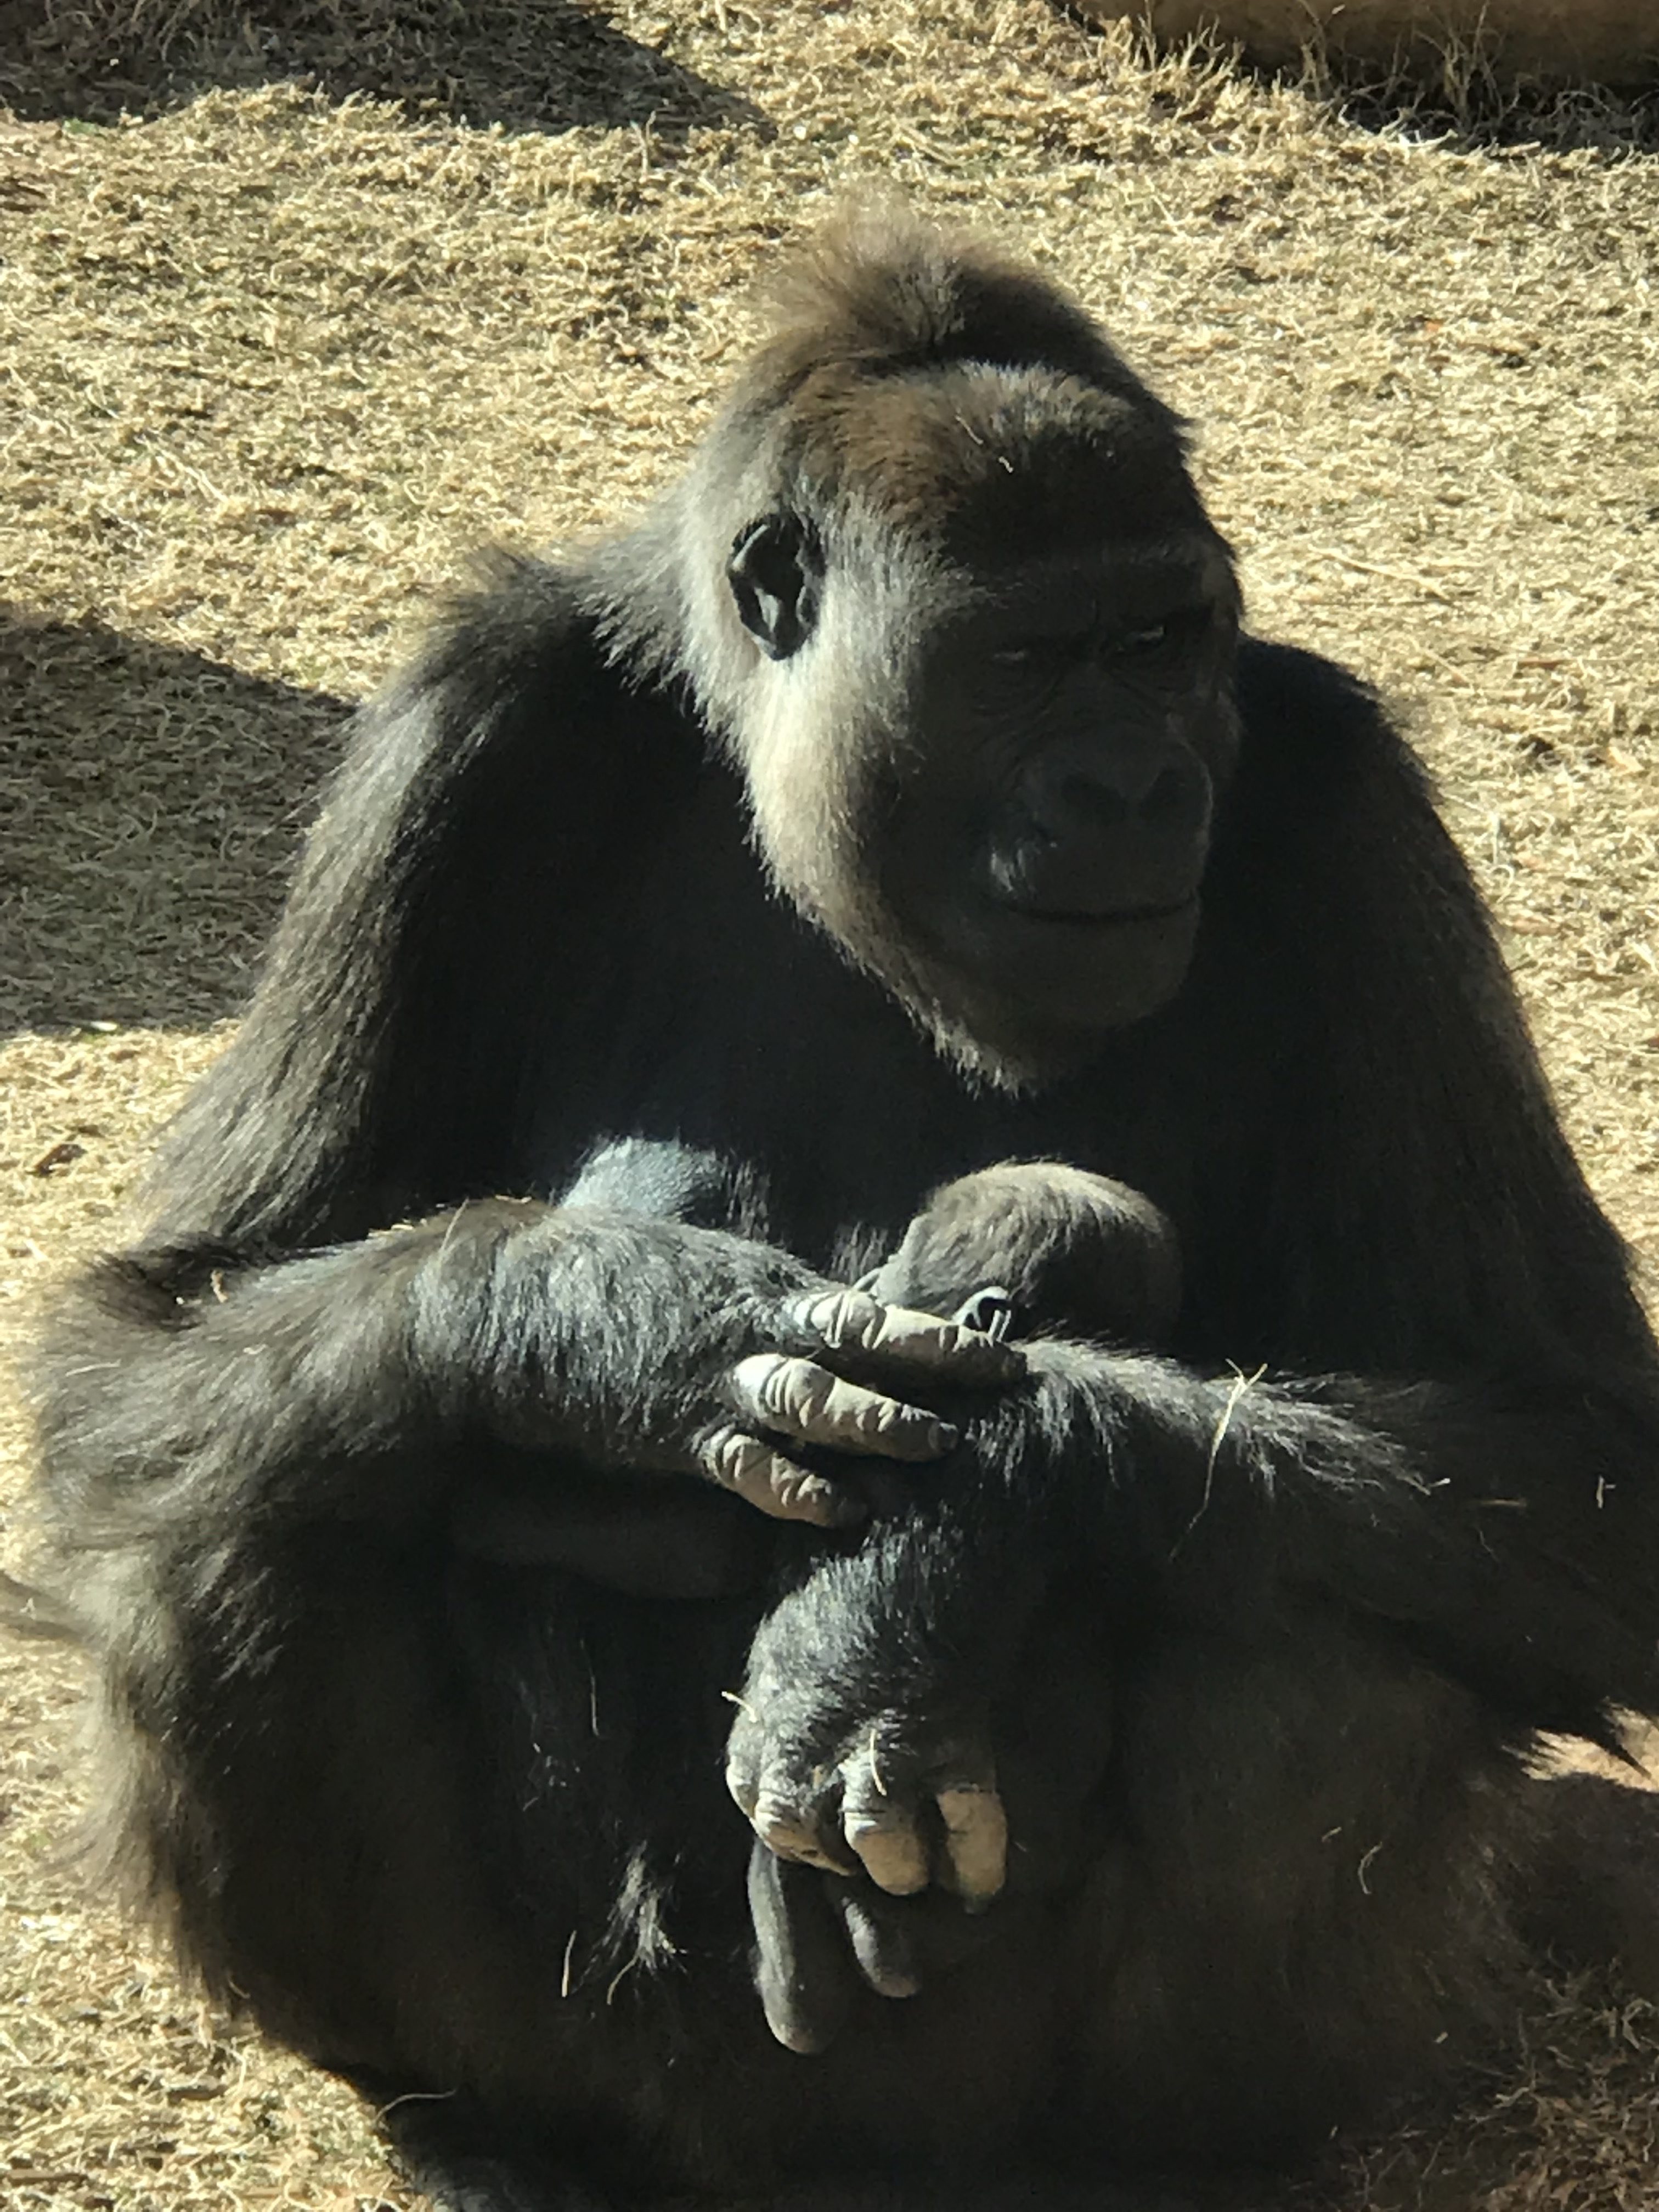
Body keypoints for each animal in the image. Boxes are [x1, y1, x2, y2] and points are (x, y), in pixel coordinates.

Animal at [29, 208, 1659, 2212]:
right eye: (1030, 661)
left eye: (1163, 643)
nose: (1139, 786)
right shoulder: (461, 734)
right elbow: (158, 1328)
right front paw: (599, 1331)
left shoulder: (1352, 800)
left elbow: (1572, 1458)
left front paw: (964, 1522)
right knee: (244, 1523)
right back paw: (495, 2124)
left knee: (1326, 1625)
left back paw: (1172, 2149)